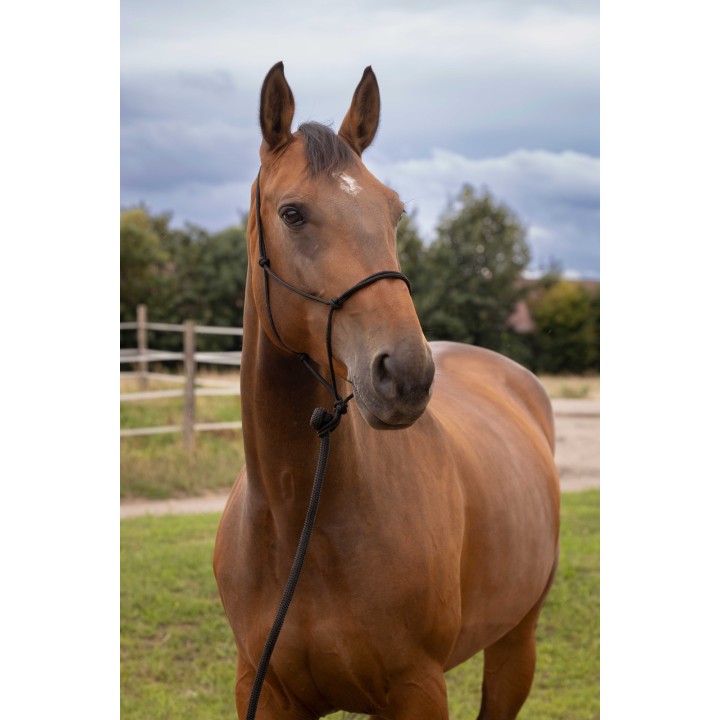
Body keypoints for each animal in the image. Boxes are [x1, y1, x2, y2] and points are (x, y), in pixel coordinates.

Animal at [214, 61, 560, 720]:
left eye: (394, 211)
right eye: (292, 213)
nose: (405, 375)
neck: (299, 518)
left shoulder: (417, 688)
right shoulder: (259, 687)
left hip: (517, 642)